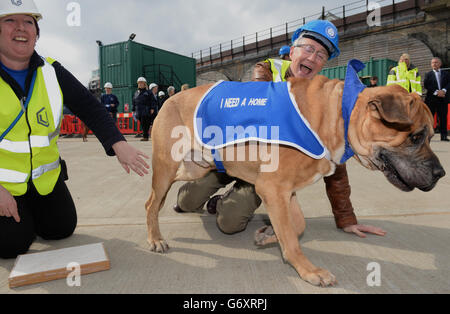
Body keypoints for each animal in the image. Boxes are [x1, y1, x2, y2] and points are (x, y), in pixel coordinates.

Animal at [145, 75, 446, 288]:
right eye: (416, 136)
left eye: (431, 136)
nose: (441, 174)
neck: (336, 115)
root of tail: (169, 99)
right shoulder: (272, 188)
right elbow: (291, 237)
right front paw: (309, 271)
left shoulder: (285, 192)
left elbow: (296, 227)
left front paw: (267, 236)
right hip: (166, 167)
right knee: (151, 203)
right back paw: (155, 238)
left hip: (192, 167)